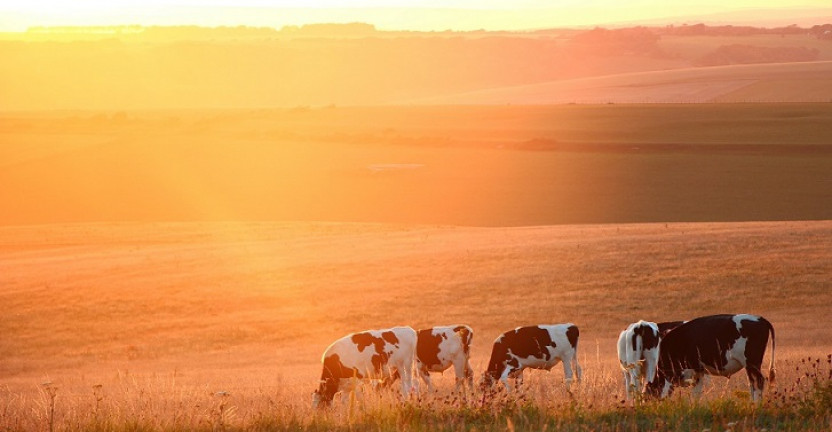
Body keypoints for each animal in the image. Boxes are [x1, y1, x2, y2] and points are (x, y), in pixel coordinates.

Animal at [644, 314, 772, 402]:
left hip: (751, 364)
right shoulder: (698, 373)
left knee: (758, 381)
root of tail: (759, 318)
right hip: (750, 366)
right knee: (752, 382)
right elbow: (696, 393)